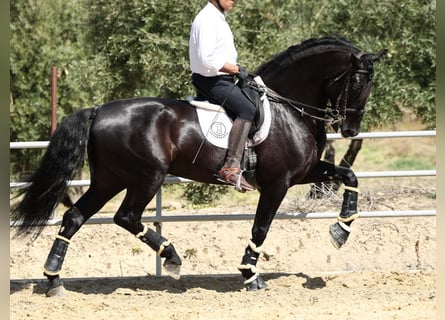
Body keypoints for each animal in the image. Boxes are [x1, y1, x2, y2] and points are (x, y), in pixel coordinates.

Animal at [10, 37, 386, 296]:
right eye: (356, 82)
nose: (350, 130)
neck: (288, 109)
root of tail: (99, 110)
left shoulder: (305, 172)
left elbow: (349, 175)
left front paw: (340, 231)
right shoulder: (278, 183)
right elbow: (260, 228)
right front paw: (250, 275)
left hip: (109, 179)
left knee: (75, 217)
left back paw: (54, 279)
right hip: (146, 177)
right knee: (126, 217)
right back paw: (171, 256)